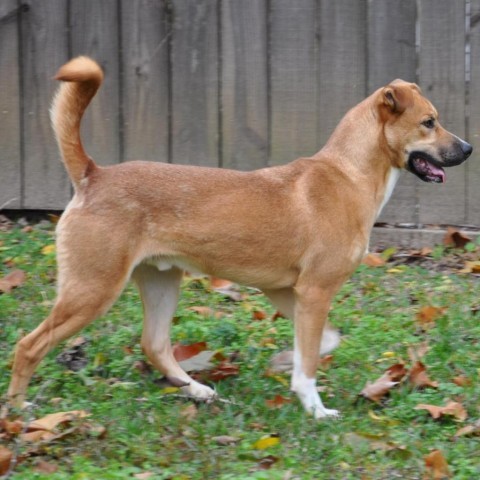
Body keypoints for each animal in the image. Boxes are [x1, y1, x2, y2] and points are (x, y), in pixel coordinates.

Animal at [6, 58, 472, 420]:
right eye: (429, 122)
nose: (468, 149)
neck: (347, 174)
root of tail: (93, 175)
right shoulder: (315, 291)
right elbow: (311, 361)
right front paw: (316, 408)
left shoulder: (289, 292)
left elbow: (322, 341)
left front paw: (288, 363)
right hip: (92, 289)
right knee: (29, 346)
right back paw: (17, 409)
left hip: (160, 281)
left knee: (155, 344)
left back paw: (197, 390)